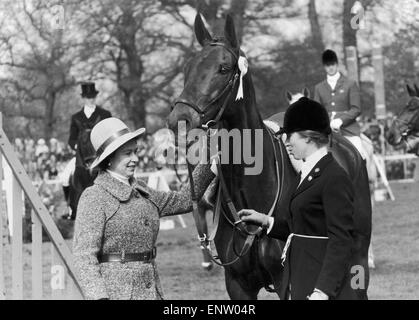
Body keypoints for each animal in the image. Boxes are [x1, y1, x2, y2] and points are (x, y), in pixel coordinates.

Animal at [167, 13, 370, 300]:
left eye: (223, 68)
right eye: (187, 69)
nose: (180, 120)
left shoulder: (287, 280)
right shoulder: (238, 284)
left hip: (356, 260)